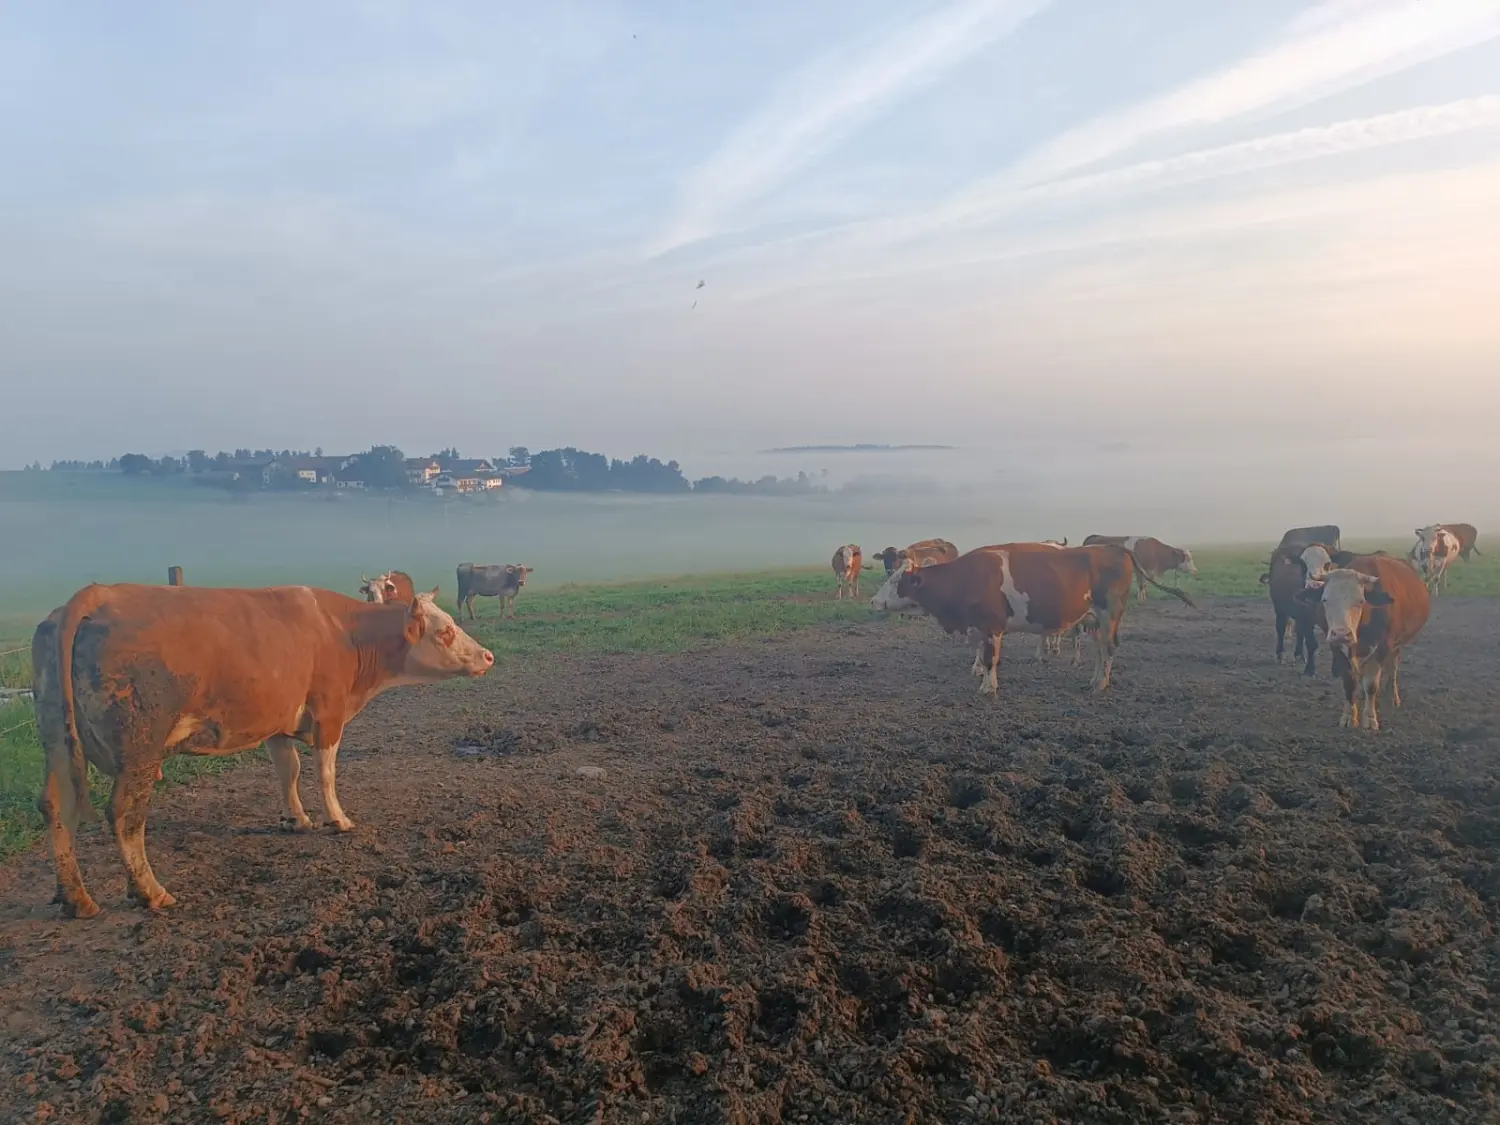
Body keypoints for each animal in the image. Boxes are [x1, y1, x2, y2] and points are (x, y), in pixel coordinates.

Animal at [32, 582, 495, 918]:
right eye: (446, 630)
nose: (488, 656)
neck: (340, 630)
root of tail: (101, 594)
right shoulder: (328, 714)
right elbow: (325, 772)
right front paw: (338, 819)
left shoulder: (278, 720)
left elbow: (288, 770)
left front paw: (296, 819)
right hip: (140, 750)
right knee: (125, 815)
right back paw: (151, 892)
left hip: (57, 742)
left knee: (56, 807)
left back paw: (75, 898)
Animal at [870, 543, 1194, 693]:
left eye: (897, 581)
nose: (874, 601)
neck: (965, 578)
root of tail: (1114, 546)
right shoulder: (979, 627)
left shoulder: (992, 627)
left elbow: (990, 659)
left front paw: (988, 687)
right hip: (1093, 620)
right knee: (1101, 649)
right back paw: (1094, 679)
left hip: (1109, 614)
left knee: (1110, 648)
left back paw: (1101, 684)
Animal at [1290, 555, 1428, 732]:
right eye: (1325, 600)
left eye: (1361, 601)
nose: (1341, 633)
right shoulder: (1337, 648)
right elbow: (1349, 681)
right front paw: (1349, 717)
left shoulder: (1383, 647)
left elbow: (1372, 684)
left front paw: (1369, 718)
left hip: (1396, 646)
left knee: (1392, 667)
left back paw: (1392, 696)